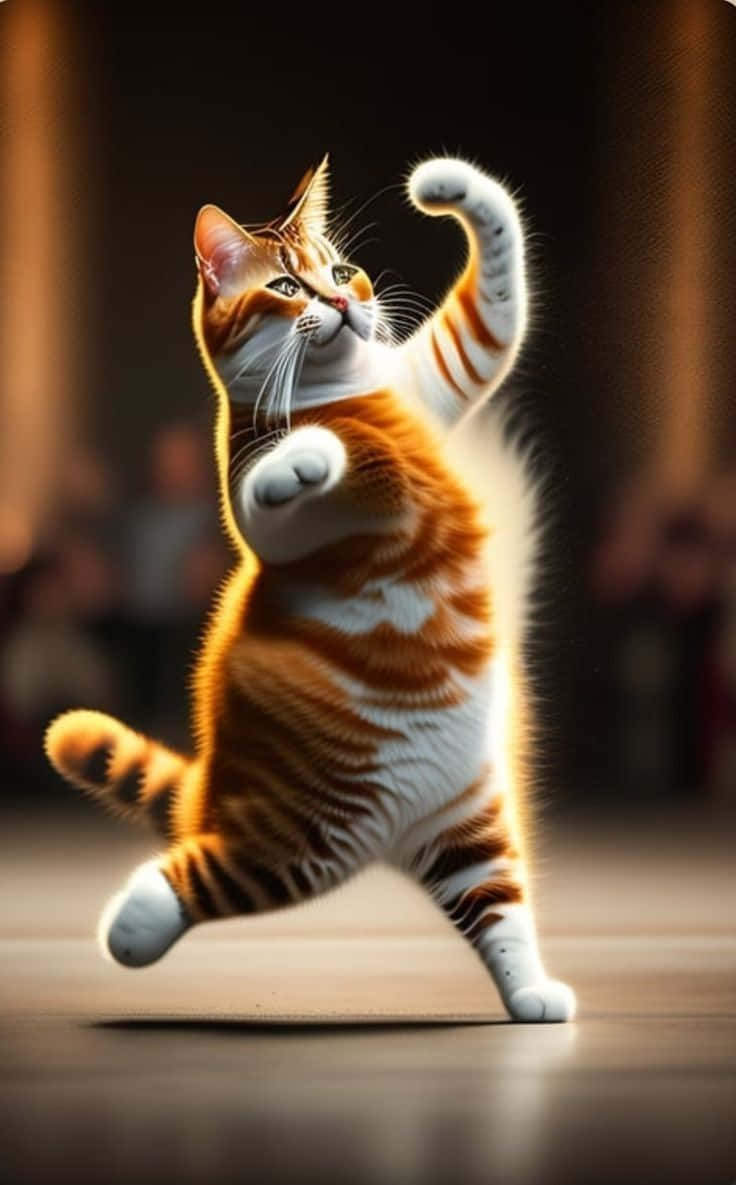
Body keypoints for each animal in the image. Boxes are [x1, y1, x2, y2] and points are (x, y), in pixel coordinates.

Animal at [45, 155, 576, 1022]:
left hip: (470, 827)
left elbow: (498, 292)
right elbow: (276, 485)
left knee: (498, 915)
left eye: (340, 269)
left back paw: (532, 994)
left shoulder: (437, 374)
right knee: (200, 872)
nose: (342, 300)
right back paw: (129, 926)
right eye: (288, 286)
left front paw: (447, 186)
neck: (346, 395)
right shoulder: (259, 508)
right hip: (305, 848)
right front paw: (313, 457)